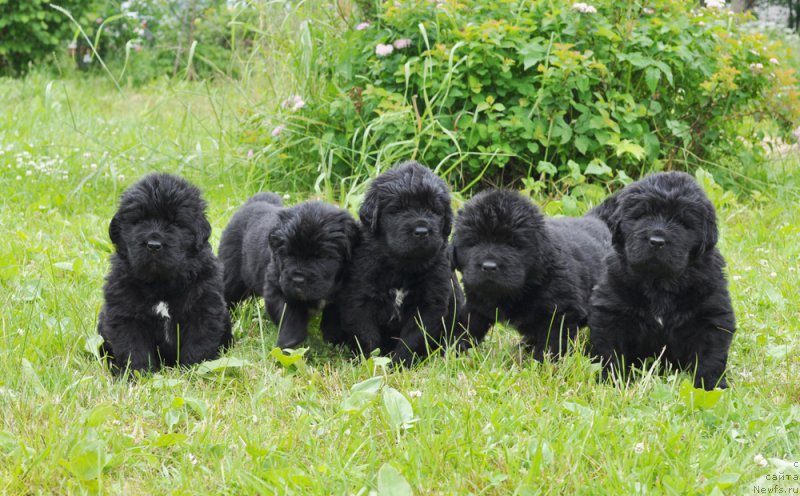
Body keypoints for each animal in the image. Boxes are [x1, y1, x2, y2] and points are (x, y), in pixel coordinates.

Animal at [96, 174, 231, 376]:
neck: (160, 284)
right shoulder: (125, 315)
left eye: (175, 223)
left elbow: (198, 345)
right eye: (139, 221)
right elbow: (133, 348)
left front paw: (193, 370)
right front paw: (137, 375)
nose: (153, 245)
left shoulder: (203, 310)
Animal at [217, 193, 358, 348]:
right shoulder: (278, 289)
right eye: (288, 253)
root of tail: (253, 202)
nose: (298, 280)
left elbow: (334, 318)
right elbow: (290, 317)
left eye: (321, 256)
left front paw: (336, 341)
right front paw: (289, 343)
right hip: (231, 277)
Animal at [336, 161, 462, 366]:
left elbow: (413, 338)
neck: (402, 265)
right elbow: (368, 336)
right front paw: (374, 362)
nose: (421, 231)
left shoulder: (429, 304)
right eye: (398, 209)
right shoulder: (360, 299)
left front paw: (399, 364)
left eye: (435, 211)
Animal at [450, 190, 612, 360]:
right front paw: (450, 353)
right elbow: (466, 329)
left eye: (512, 244)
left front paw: (543, 364)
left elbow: (550, 346)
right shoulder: (476, 304)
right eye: (473, 242)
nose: (488, 267)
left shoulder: (560, 314)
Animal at [588, 172, 736, 390]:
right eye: (643, 215)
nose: (657, 241)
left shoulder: (712, 316)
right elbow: (610, 351)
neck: (659, 283)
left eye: (682, 221)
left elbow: (711, 356)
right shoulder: (610, 312)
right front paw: (611, 381)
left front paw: (710, 386)